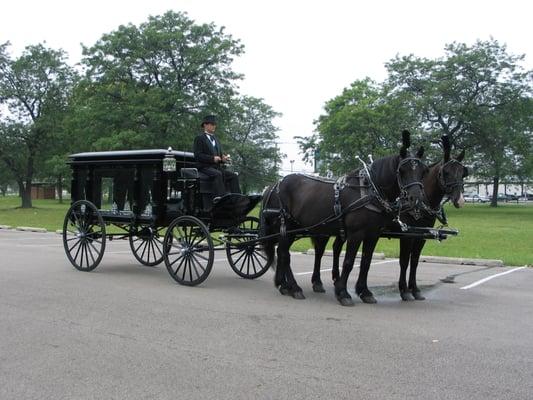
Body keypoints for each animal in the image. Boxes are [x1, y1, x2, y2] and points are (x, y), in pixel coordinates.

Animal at [260, 130, 426, 304]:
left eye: (423, 171)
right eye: (402, 170)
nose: (416, 199)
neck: (369, 191)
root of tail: (273, 186)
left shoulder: (373, 235)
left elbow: (366, 262)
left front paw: (364, 292)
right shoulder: (356, 234)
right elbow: (348, 262)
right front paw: (342, 292)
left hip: (293, 229)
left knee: (282, 252)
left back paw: (284, 285)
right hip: (287, 227)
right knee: (285, 254)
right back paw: (294, 287)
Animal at [312, 134, 466, 300]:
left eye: (463, 172)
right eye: (446, 172)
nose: (460, 200)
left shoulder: (421, 236)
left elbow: (415, 261)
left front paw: (415, 289)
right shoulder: (407, 235)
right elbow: (404, 261)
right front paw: (404, 290)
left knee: (336, 248)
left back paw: (335, 278)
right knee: (320, 250)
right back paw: (318, 282)